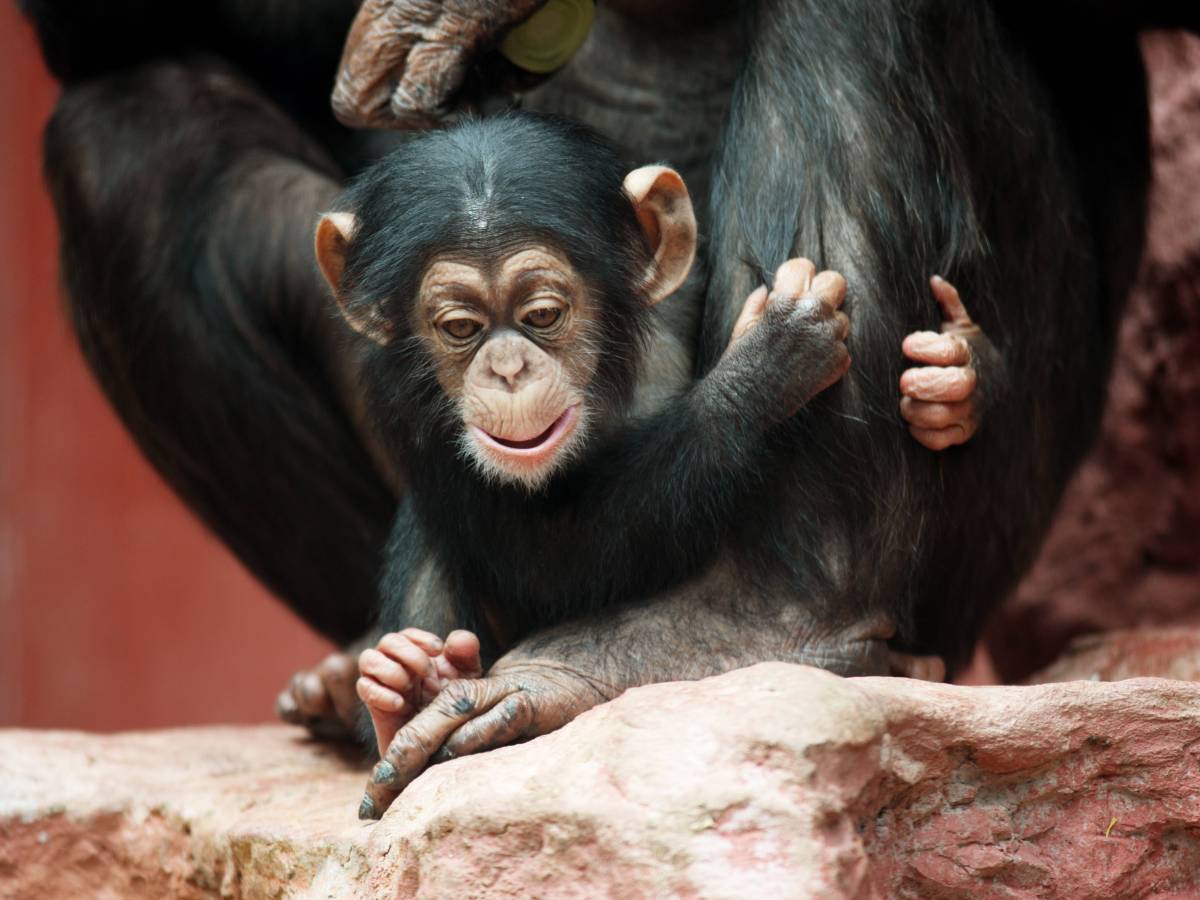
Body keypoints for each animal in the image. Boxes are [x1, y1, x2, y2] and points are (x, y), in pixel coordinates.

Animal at [314, 116, 979, 801]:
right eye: (459, 328)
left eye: (543, 314)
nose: (507, 368)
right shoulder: (408, 415)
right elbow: (552, 555)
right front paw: (765, 365)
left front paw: (951, 384)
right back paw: (403, 690)